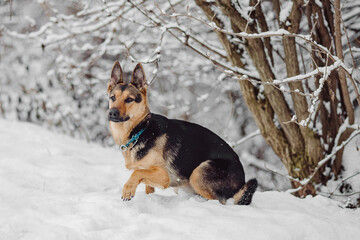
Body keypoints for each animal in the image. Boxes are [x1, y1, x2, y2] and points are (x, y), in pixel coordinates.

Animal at [107, 61, 258, 204]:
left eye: (129, 99)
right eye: (113, 98)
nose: (112, 113)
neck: (141, 130)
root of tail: (242, 182)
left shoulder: (164, 176)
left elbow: (137, 173)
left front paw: (128, 189)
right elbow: (145, 182)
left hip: (198, 172)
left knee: (219, 201)